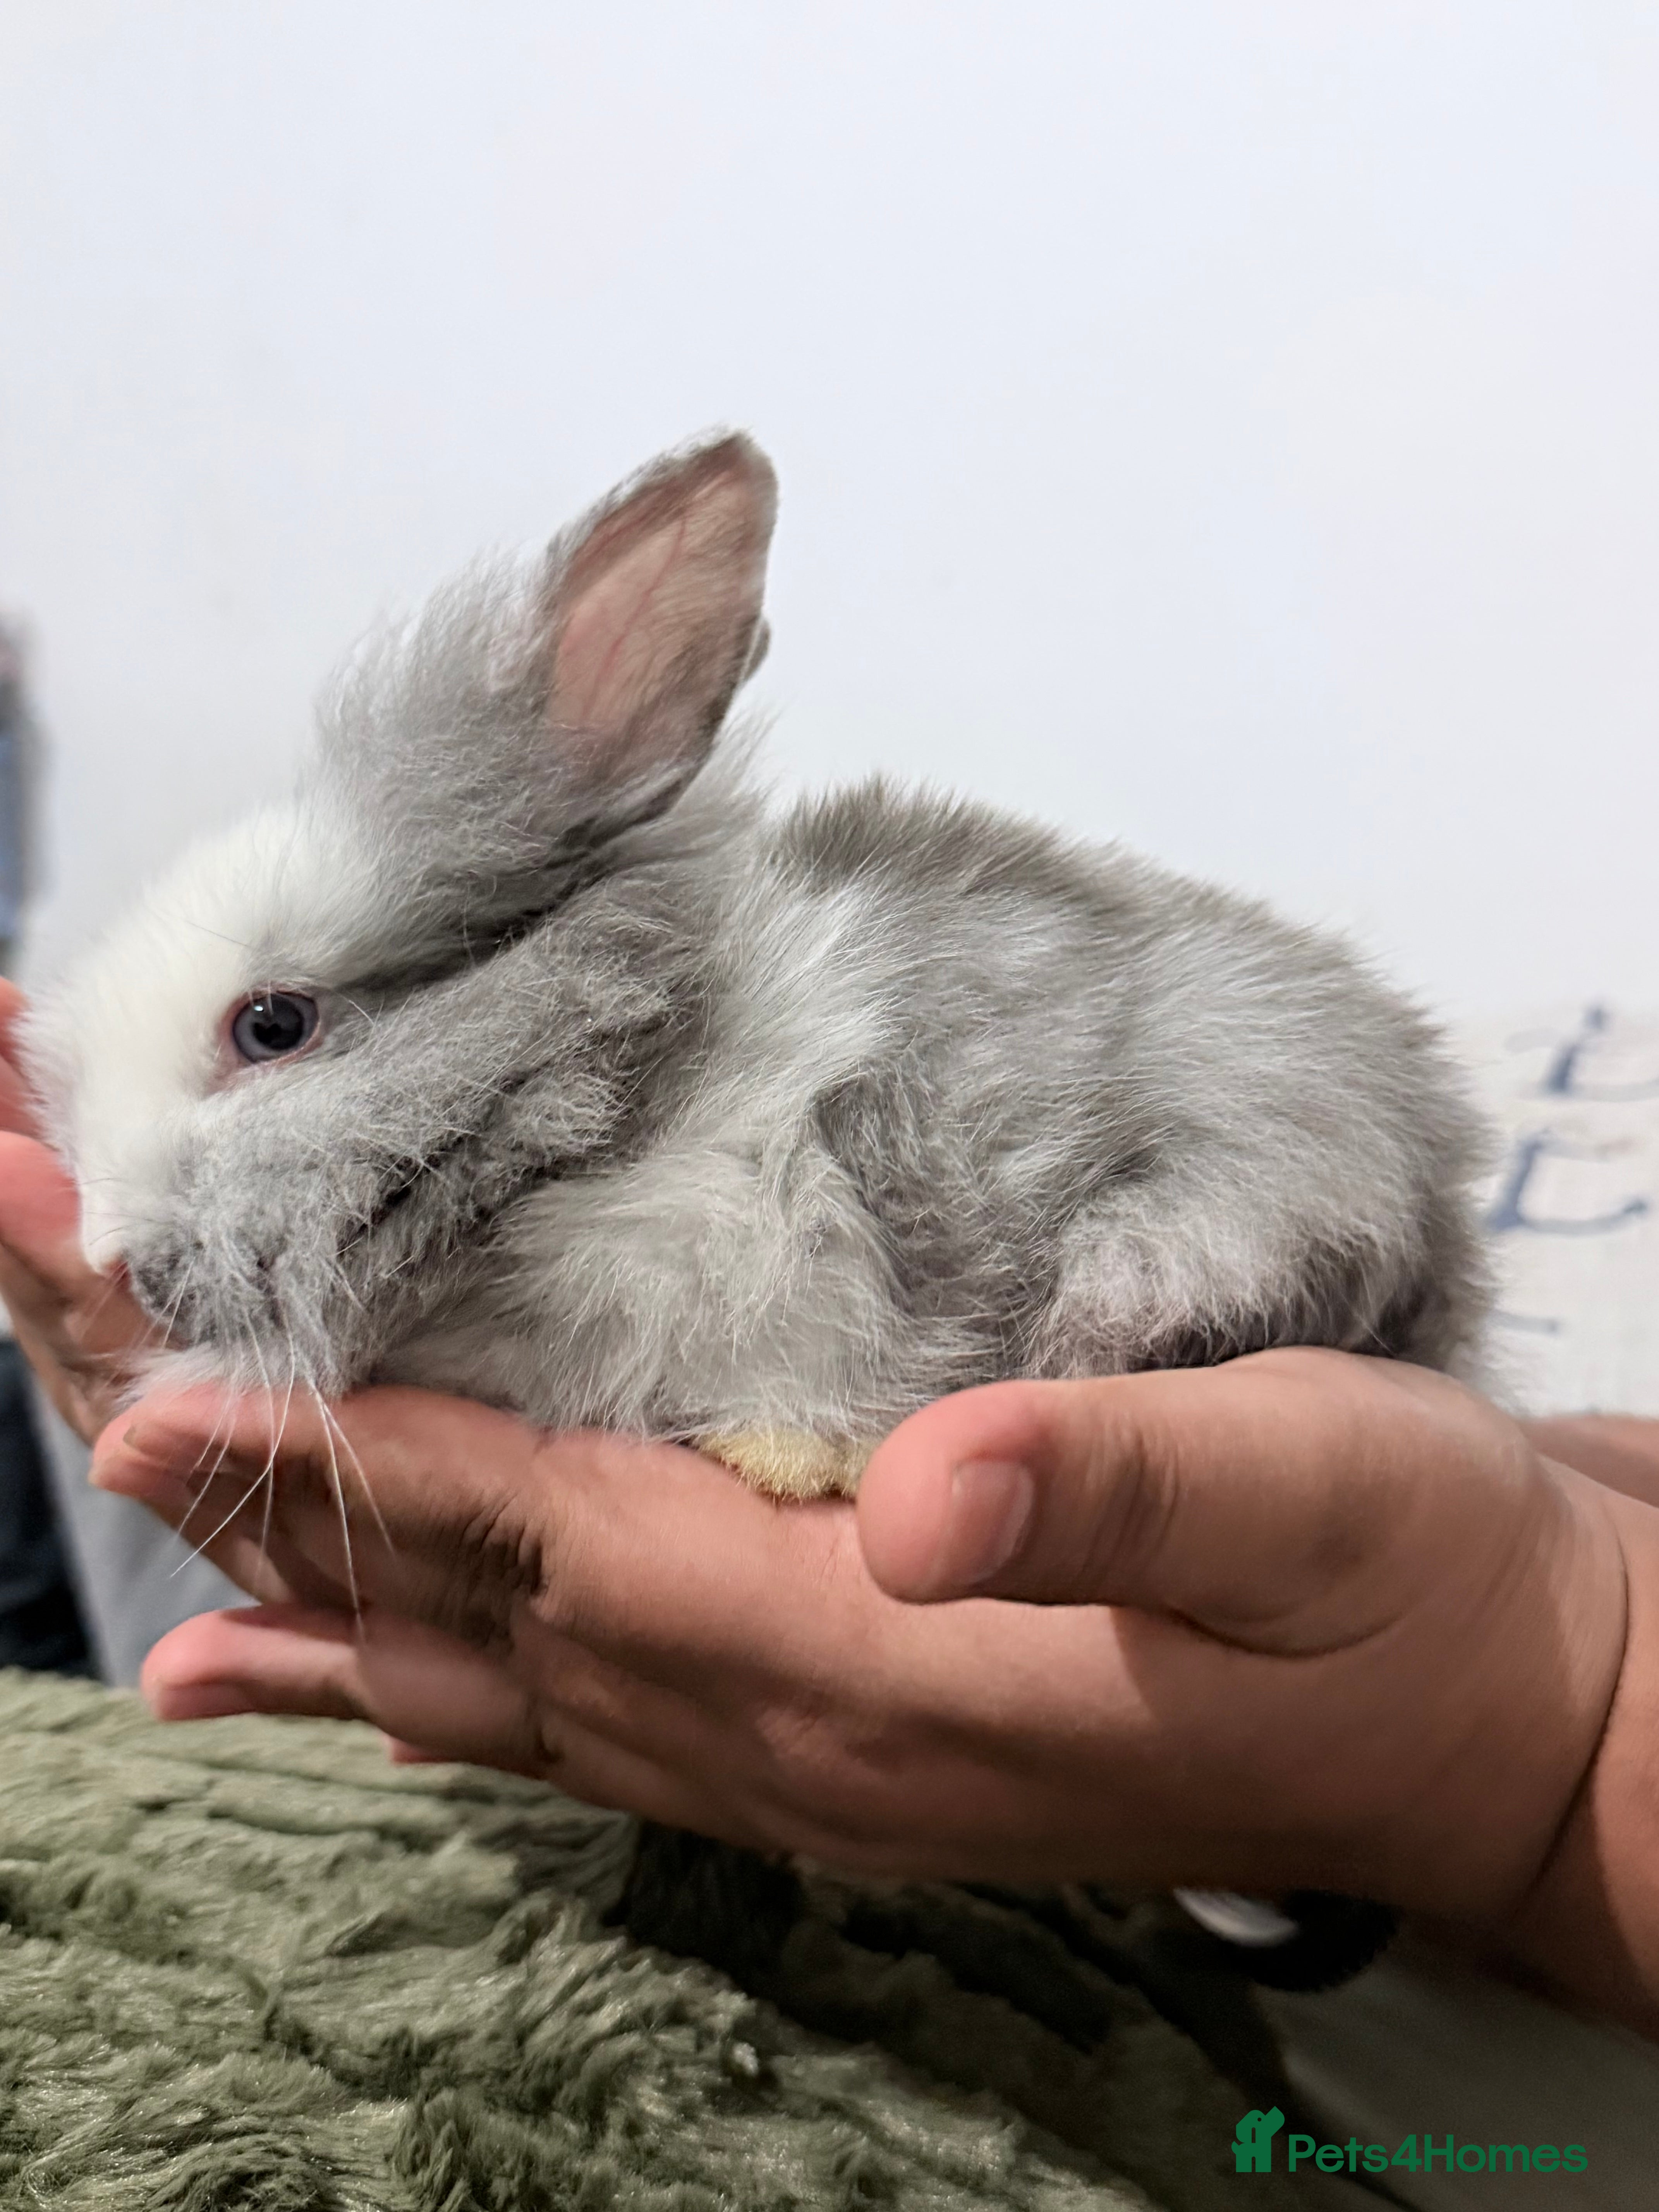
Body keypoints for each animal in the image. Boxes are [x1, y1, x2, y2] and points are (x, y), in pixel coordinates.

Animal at [23, 431, 1492, 1498]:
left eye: (272, 1025)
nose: (111, 1258)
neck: (614, 1089)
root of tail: (1435, 1205)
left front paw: (784, 1451)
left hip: (1196, 1232)